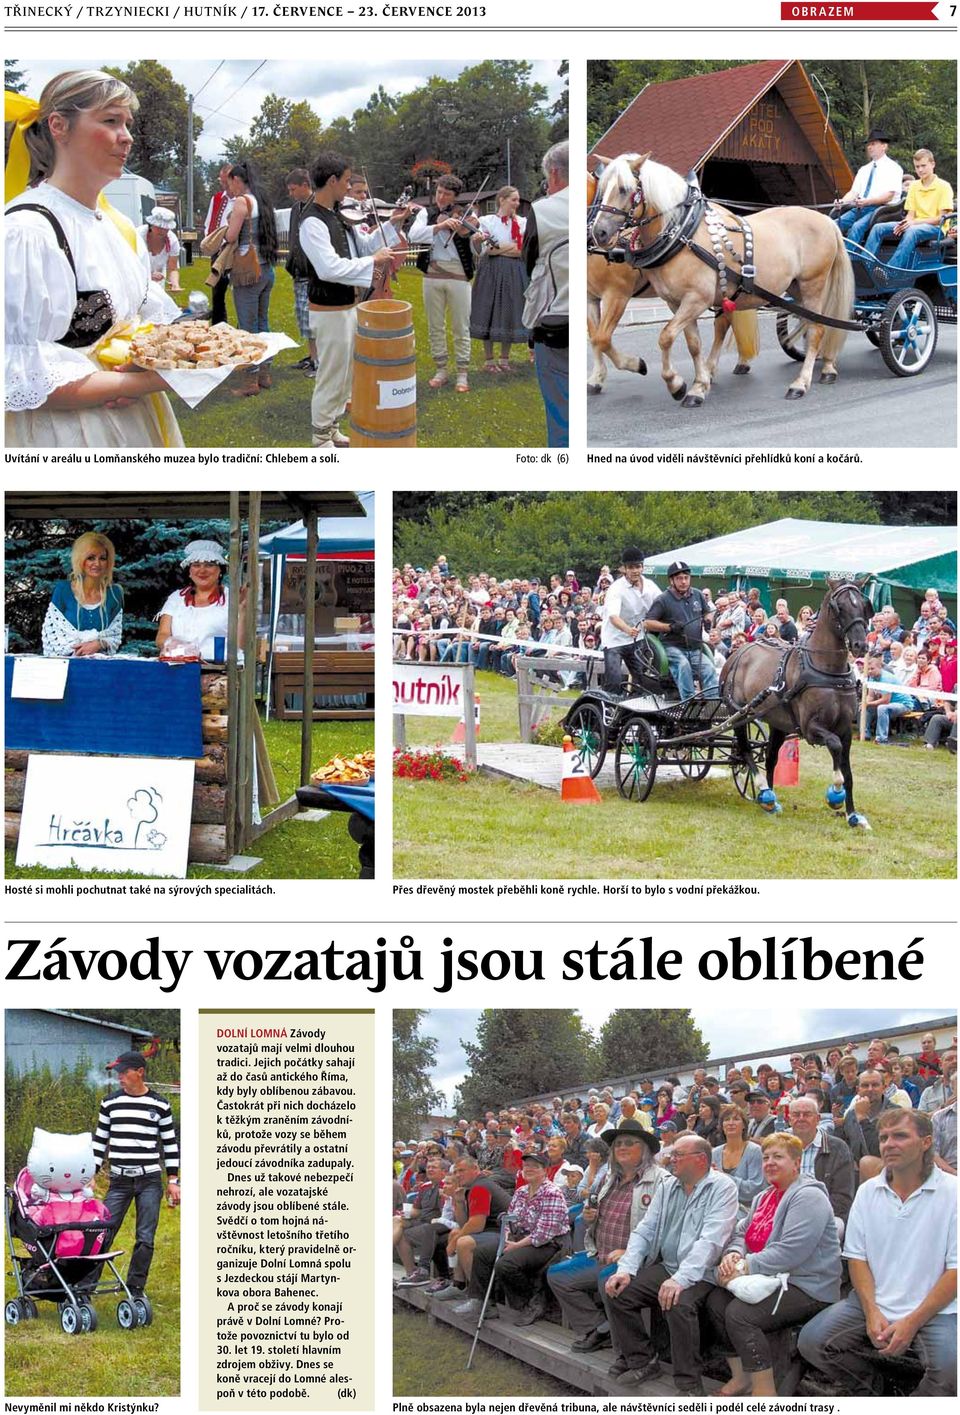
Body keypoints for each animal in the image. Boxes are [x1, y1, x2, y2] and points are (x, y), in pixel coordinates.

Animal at [594, 155, 855, 410]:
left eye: (625, 189)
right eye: (602, 188)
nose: (599, 233)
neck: (682, 234)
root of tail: (826, 221)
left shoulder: (696, 299)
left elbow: (665, 336)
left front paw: (675, 384)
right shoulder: (677, 303)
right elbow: (693, 344)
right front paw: (698, 387)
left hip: (813, 284)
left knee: (816, 329)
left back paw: (801, 383)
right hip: (796, 288)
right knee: (820, 323)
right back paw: (828, 366)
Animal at [722, 580, 872, 826]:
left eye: (863, 605)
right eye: (839, 607)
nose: (860, 644)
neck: (828, 670)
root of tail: (737, 653)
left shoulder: (844, 730)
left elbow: (848, 772)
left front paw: (853, 815)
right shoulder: (812, 728)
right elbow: (835, 746)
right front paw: (835, 793)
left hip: (778, 723)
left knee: (771, 758)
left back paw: (769, 801)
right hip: (740, 715)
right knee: (745, 750)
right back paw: (763, 789)